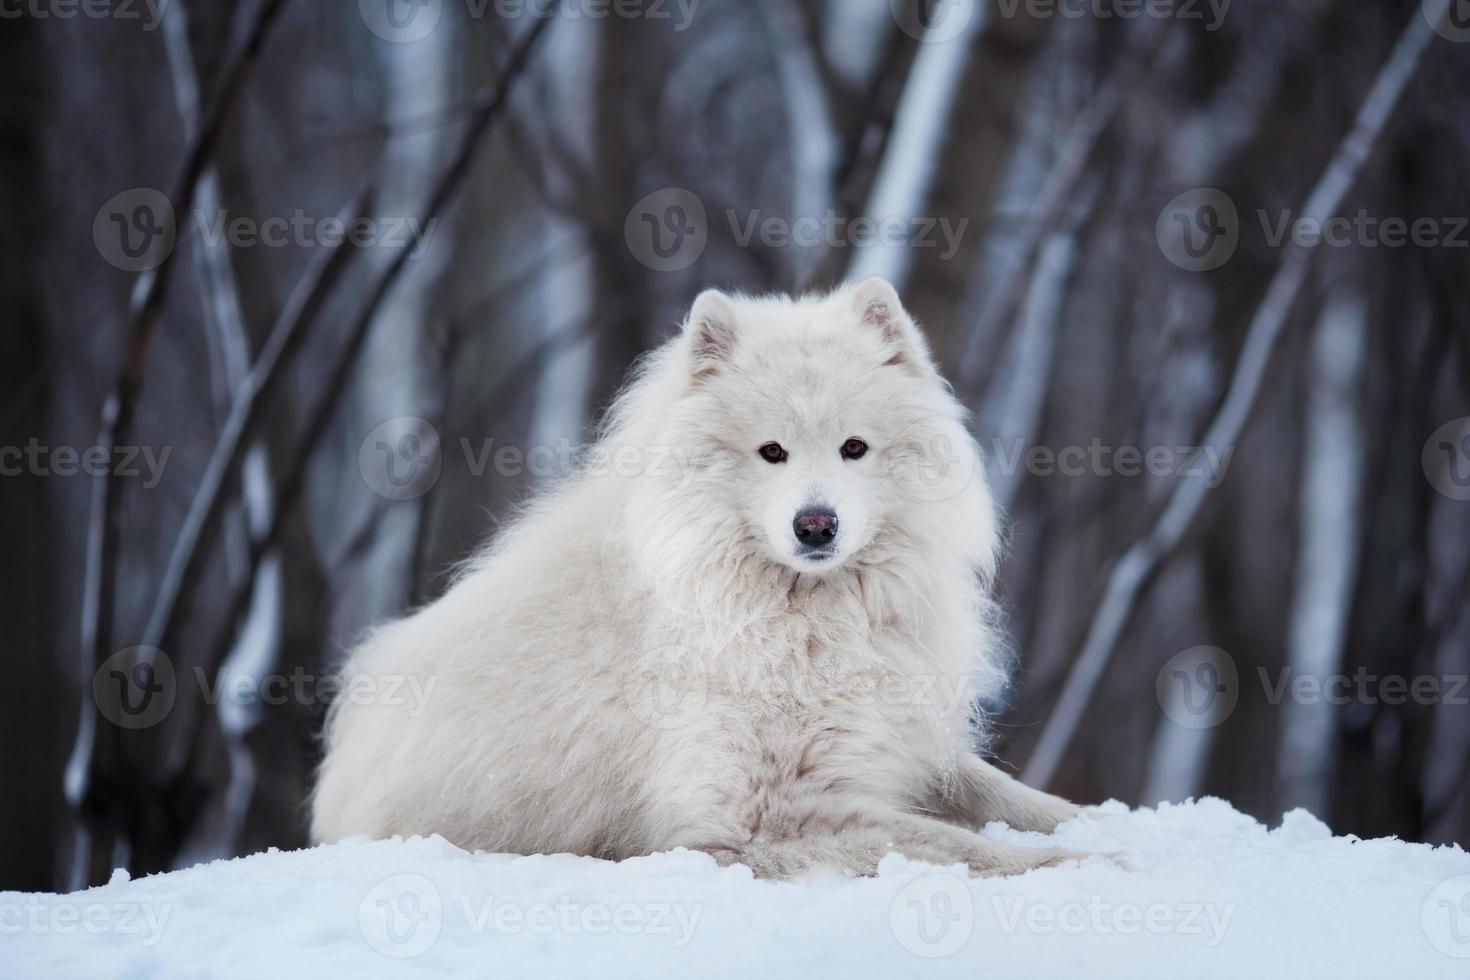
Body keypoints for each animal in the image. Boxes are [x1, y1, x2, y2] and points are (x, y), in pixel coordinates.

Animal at [313, 277, 1093, 881]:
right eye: (772, 452)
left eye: (854, 448)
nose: (816, 525)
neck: (805, 616)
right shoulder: (758, 815)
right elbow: (952, 843)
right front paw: (1073, 864)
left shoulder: (904, 743)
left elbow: (1011, 797)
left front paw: (1090, 825)